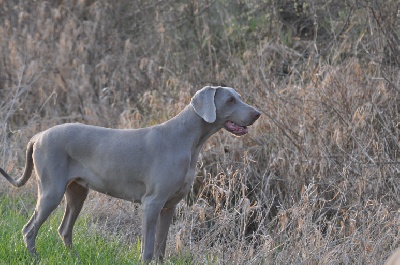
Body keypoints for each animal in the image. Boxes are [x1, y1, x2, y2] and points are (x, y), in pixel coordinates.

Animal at [0, 85, 260, 260]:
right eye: (230, 100)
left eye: (238, 97)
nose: (257, 113)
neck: (189, 140)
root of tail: (37, 136)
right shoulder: (152, 203)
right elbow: (147, 250)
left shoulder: (169, 206)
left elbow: (160, 248)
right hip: (51, 191)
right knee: (29, 230)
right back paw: (36, 258)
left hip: (77, 192)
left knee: (64, 229)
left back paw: (74, 258)